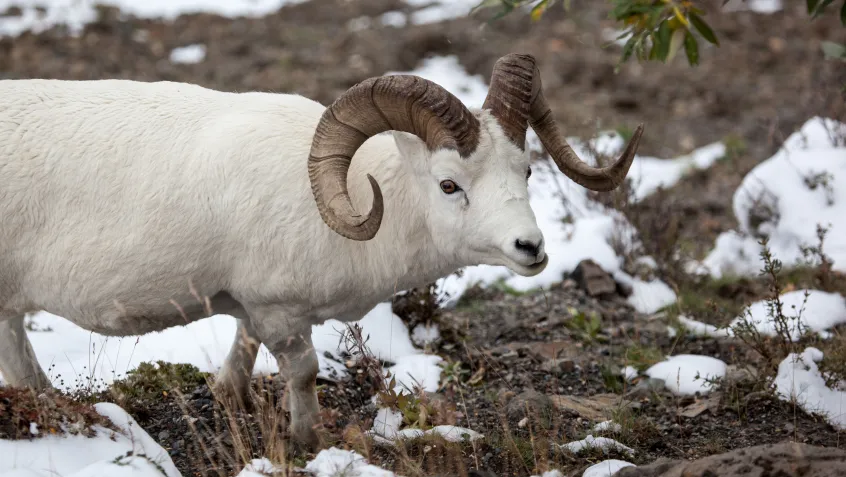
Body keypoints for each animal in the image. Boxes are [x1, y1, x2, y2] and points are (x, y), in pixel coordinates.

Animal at [0, 53, 643, 450]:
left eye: (526, 170)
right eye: (449, 185)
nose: (531, 248)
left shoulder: (252, 307)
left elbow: (242, 349)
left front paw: (230, 396)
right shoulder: (280, 312)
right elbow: (304, 373)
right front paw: (309, 439)